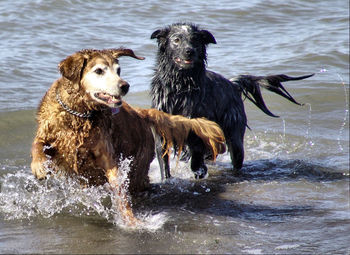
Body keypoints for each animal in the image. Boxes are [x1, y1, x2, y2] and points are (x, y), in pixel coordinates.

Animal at [31, 48, 226, 225]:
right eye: (99, 71)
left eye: (118, 70)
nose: (125, 86)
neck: (79, 114)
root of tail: (142, 113)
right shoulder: (48, 131)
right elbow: (37, 145)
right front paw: (39, 166)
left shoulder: (107, 155)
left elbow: (118, 186)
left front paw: (129, 219)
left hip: (138, 168)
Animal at [150, 22, 314, 178]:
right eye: (176, 40)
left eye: (195, 40)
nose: (189, 51)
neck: (180, 87)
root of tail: (234, 85)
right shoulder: (162, 134)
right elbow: (165, 166)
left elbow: (196, 157)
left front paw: (199, 170)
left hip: (235, 139)